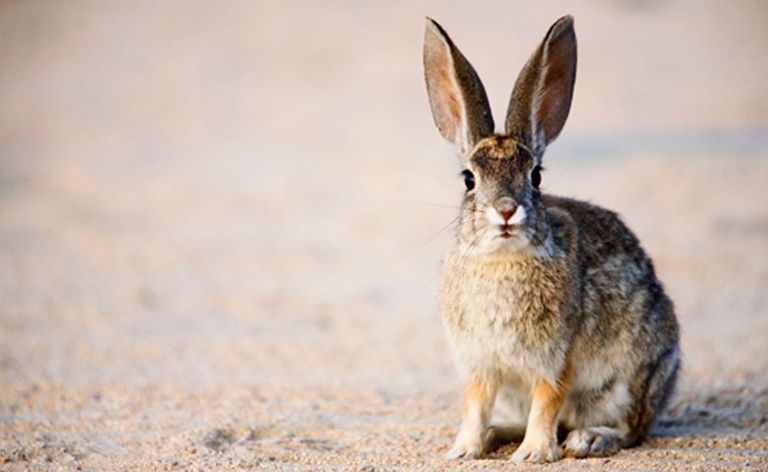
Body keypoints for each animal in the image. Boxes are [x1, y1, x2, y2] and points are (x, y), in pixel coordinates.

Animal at [423, 15, 680, 463]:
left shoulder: (557, 358)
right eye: (469, 179)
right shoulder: (479, 364)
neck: (501, 260)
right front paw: (464, 449)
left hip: (631, 378)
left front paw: (532, 454)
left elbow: (548, 401)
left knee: (631, 428)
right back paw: (497, 433)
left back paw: (588, 440)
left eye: (536, 177)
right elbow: (475, 404)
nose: (506, 210)